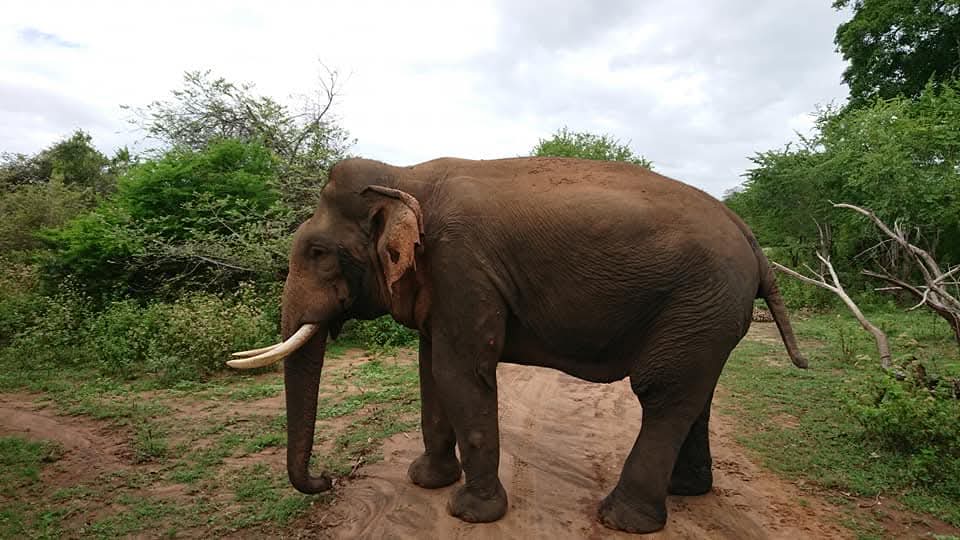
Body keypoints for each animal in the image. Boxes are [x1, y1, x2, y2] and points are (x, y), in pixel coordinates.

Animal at [227, 156, 807, 534]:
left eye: (318, 252)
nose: (327, 479)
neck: (404, 175)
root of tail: (752, 238)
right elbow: (431, 368)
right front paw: (427, 482)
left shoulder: (460, 262)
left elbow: (461, 371)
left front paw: (471, 513)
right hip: (706, 313)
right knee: (694, 394)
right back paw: (685, 493)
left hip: (700, 300)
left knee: (662, 392)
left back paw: (622, 520)